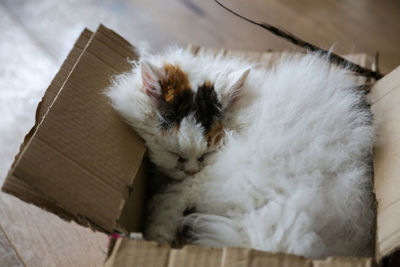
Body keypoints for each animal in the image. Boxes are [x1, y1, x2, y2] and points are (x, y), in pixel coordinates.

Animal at [105, 46, 376, 260]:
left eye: (207, 154)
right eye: (174, 153)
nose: (191, 170)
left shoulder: (199, 181)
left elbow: (169, 201)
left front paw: (156, 235)